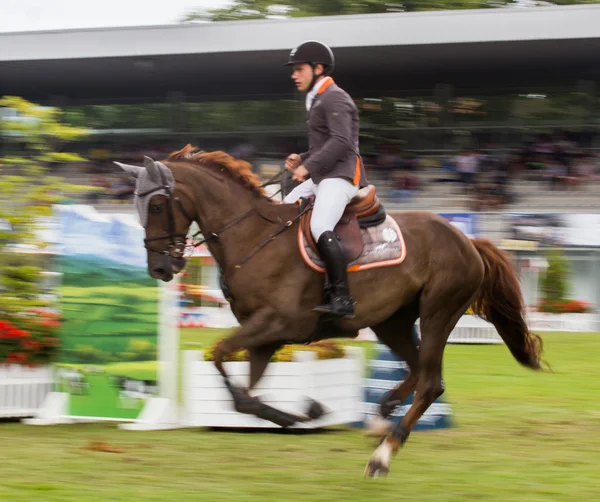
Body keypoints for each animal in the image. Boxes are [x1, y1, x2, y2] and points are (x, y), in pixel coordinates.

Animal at [116, 143, 544, 476]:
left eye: (157, 204)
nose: (160, 269)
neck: (253, 237)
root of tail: (467, 240)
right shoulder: (264, 337)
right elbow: (245, 395)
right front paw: (303, 413)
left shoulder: (275, 324)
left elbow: (224, 361)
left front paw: (306, 412)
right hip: (393, 322)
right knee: (416, 370)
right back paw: (380, 417)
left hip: (439, 312)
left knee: (430, 382)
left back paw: (383, 454)